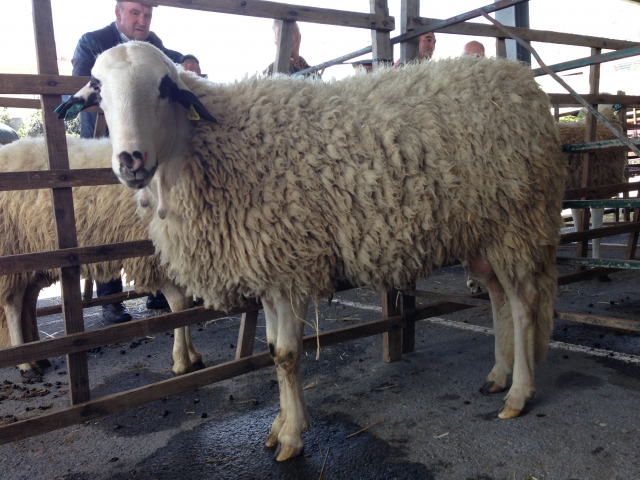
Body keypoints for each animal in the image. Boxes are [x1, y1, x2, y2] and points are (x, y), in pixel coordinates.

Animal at [0, 137, 204, 376]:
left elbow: (187, 303)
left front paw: (192, 355)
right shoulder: (151, 261)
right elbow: (180, 305)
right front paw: (181, 361)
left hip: (36, 257)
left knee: (29, 298)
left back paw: (37, 353)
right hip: (12, 250)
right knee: (13, 303)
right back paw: (27, 363)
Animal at [60, 41, 568, 462]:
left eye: (165, 88)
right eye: (98, 90)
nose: (130, 160)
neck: (209, 149)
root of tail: (524, 82)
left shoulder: (288, 265)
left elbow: (286, 355)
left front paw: (290, 438)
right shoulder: (266, 266)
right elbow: (270, 350)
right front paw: (280, 426)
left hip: (517, 221)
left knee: (523, 304)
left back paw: (518, 394)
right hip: (482, 233)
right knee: (499, 299)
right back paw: (498, 375)